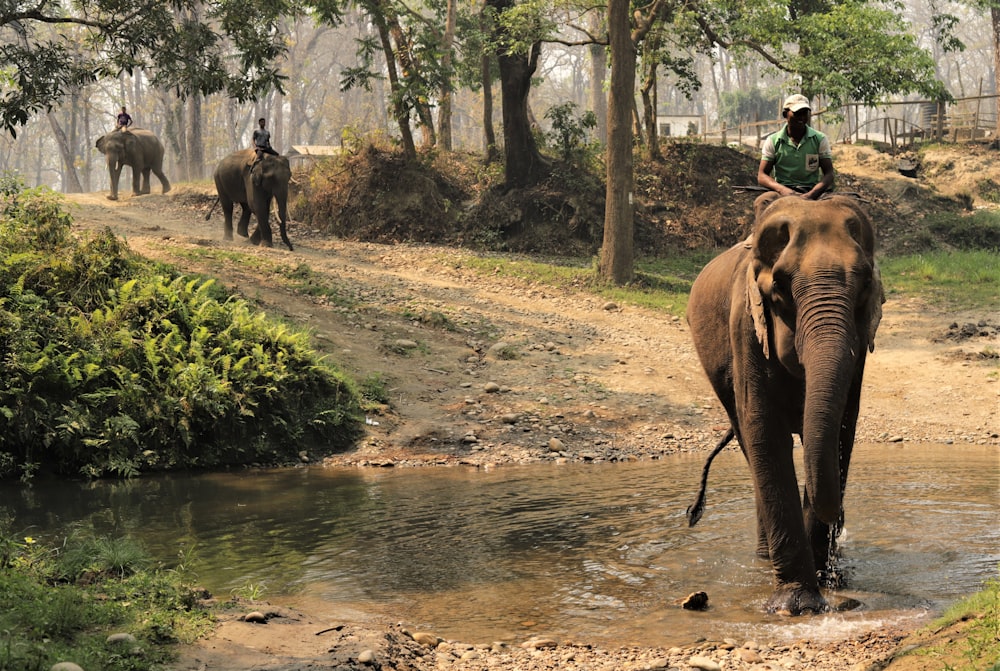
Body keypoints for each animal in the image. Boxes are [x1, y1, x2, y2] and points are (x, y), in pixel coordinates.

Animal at [688, 192, 884, 616]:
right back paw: (765, 558)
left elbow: (841, 432)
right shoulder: (745, 327)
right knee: (748, 442)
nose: (839, 520)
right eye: (779, 286)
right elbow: (765, 433)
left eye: (864, 284)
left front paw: (827, 583)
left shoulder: (859, 352)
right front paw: (796, 606)